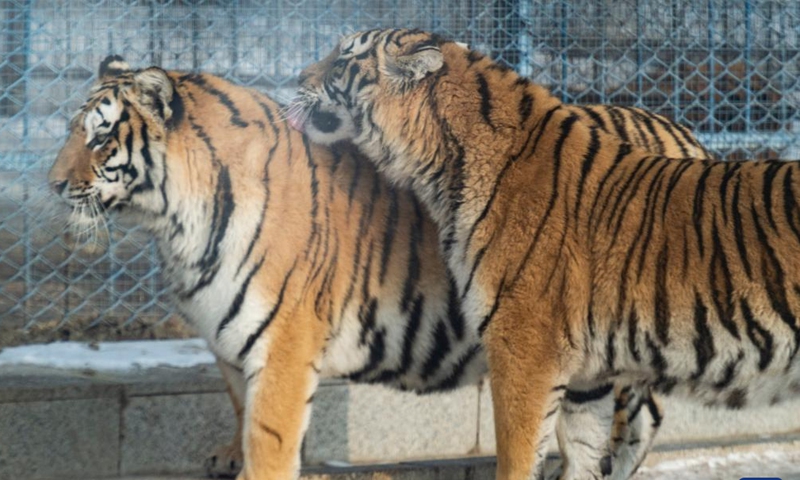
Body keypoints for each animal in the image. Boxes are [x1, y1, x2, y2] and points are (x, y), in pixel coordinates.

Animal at [47, 53, 708, 480]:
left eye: (100, 138)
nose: (52, 185)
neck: (174, 226)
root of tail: (683, 131)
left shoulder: (283, 345)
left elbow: (270, 439)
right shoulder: (229, 341)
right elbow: (241, 409)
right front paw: (226, 456)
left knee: (634, 419)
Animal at [290, 28, 800, 480]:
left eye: (342, 58)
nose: (296, 76)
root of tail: (682, 128)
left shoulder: (524, 349)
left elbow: (517, 458)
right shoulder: (589, 373)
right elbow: (583, 453)